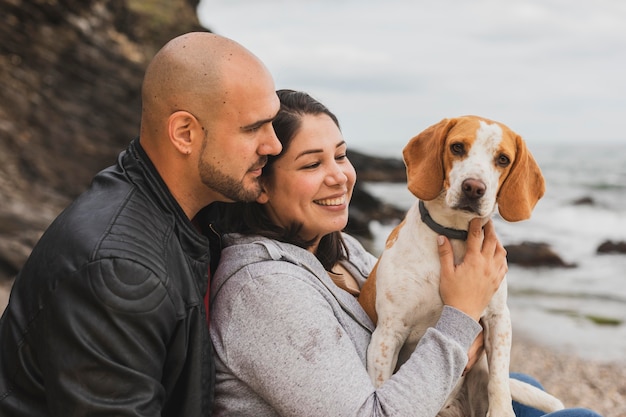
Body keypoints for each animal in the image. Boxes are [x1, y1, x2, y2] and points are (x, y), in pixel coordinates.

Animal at [356, 116, 560, 416]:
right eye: (457, 147)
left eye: (503, 159)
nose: (473, 187)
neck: (453, 236)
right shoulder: (388, 333)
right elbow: (381, 385)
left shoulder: (499, 318)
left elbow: (499, 378)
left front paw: (501, 410)